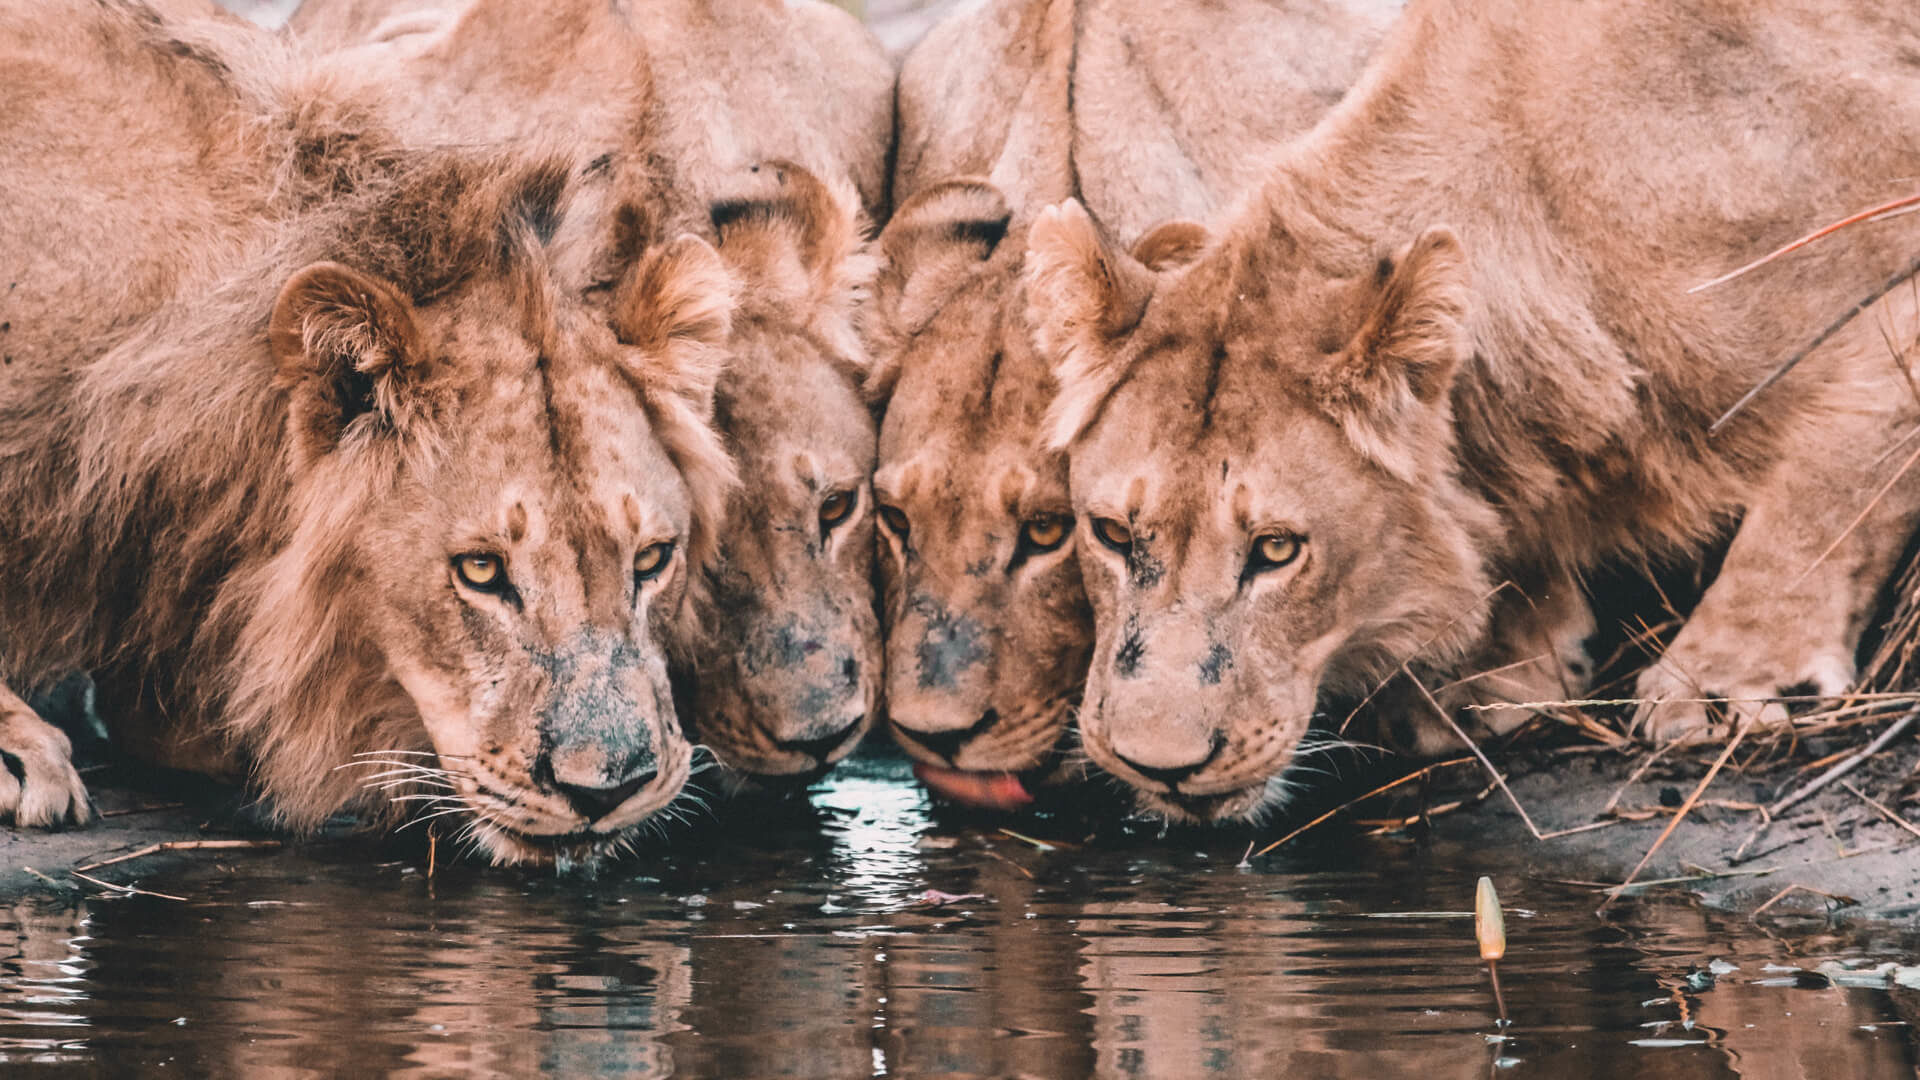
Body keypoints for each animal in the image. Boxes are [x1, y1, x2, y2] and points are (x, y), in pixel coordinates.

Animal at [1029, 0, 1920, 818]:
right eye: (1111, 533)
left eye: (1276, 550)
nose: (1157, 766)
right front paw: (1497, 672)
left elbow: (1826, 486)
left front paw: (1724, 678)